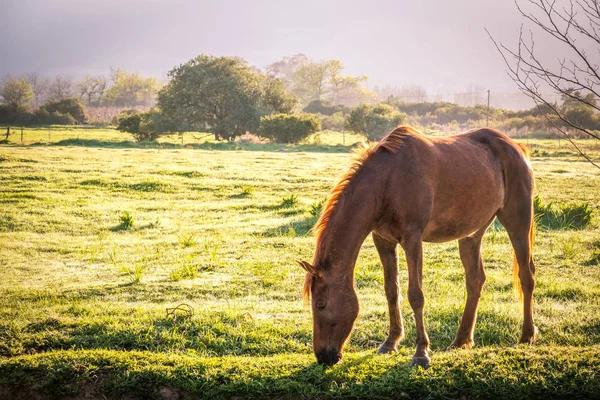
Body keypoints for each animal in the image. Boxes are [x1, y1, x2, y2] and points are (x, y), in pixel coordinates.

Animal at [298, 126, 536, 368]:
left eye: (321, 305)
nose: (323, 357)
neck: (387, 182)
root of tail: (517, 149)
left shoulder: (412, 239)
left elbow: (415, 295)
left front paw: (421, 352)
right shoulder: (383, 241)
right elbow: (391, 291)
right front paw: (390, 342)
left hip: (517, 221)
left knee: (526, 276)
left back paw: (526, 335)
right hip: (471, 234)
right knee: (475, 280)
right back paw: (461, 340)